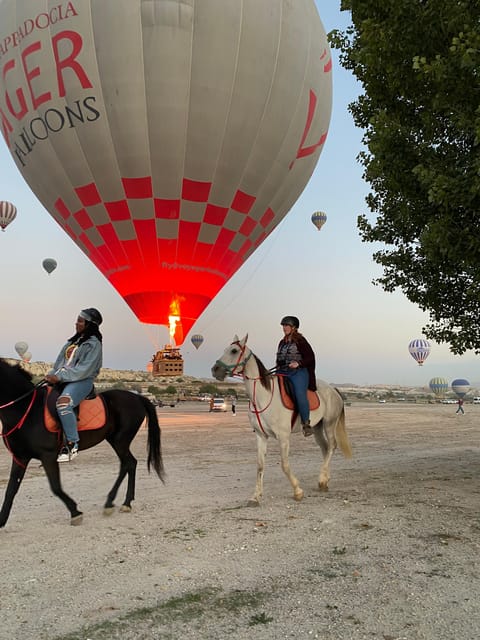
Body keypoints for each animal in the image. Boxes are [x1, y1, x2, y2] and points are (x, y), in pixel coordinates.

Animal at [0, 358, 165, 528]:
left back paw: (116, 502)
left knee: (128, 463)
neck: (27, 410)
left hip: (121, 441)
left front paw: (75, 512)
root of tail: (137, 398)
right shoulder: (20, 457)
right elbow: (11, 489)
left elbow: (56, 487)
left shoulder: (48, 456)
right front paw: (1, 520)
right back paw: (123, 502)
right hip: (115, 440)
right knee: (129, 464)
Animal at [212, 336, 350, 504]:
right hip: (317, 427)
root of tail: (333, 390)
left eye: (234, 351)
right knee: (325, 448)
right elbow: (260, 466)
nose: (215, 370)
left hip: (329, 424)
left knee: (331, 446)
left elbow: (284, 465)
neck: (263, 397)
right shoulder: (261, 436)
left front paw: (297, 491)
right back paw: (324, 480)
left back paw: (323, 480)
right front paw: (255, 496)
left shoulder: (283, 437)